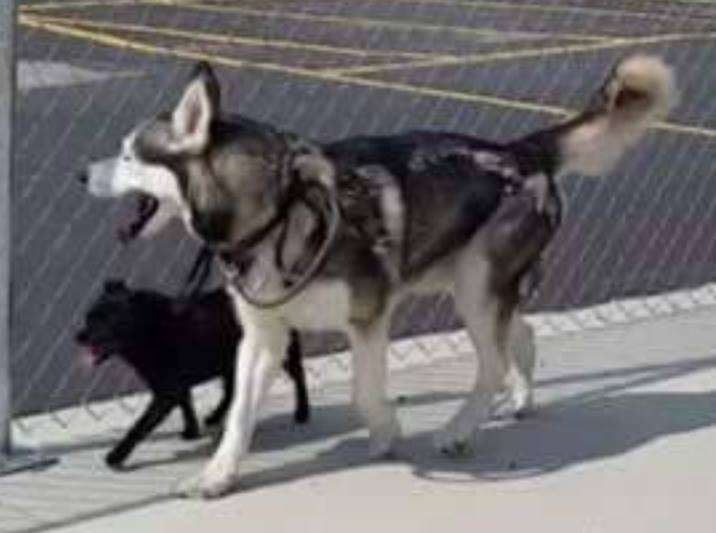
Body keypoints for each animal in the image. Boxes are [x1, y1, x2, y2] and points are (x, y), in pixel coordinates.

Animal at [76, 280, 310, 468]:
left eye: (104, 321)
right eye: (88, 317)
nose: (78, 336)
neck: (150, 330)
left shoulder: (166, 392)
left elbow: (140, 425)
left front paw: (116, 455)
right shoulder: (176, 385)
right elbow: (186, 405)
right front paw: (191, 431)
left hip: (280, 350)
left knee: (298, 376)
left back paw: (302, 412)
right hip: (231, 361)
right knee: (231, 390)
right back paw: (215, 415)